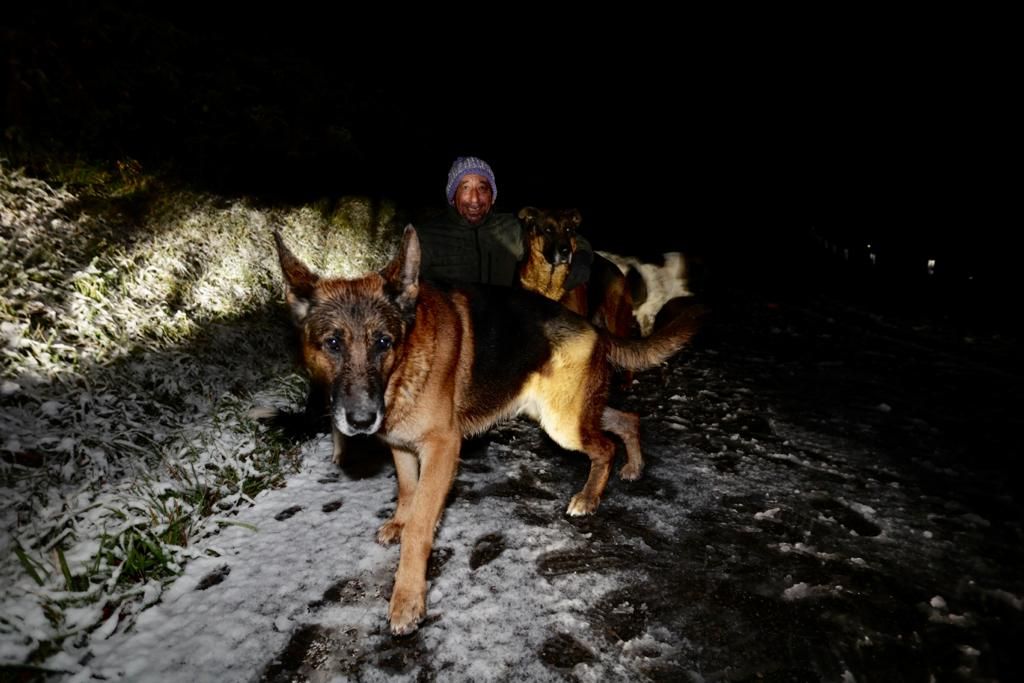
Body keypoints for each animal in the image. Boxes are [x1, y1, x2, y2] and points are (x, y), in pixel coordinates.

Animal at [272, 225, 704, 634]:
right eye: (332, 344)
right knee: (627, 420)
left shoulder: (443, 449)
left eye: (383, 342)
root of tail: (593, 327)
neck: (406, 360)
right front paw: (399, 521)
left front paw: (407, 599)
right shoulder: (401, 446)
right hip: (563, 413)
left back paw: (589, 497)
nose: (361, 421)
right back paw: (634, 466)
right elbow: (407, 490)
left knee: (605, 447)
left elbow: (420, 527)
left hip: (563, 425)